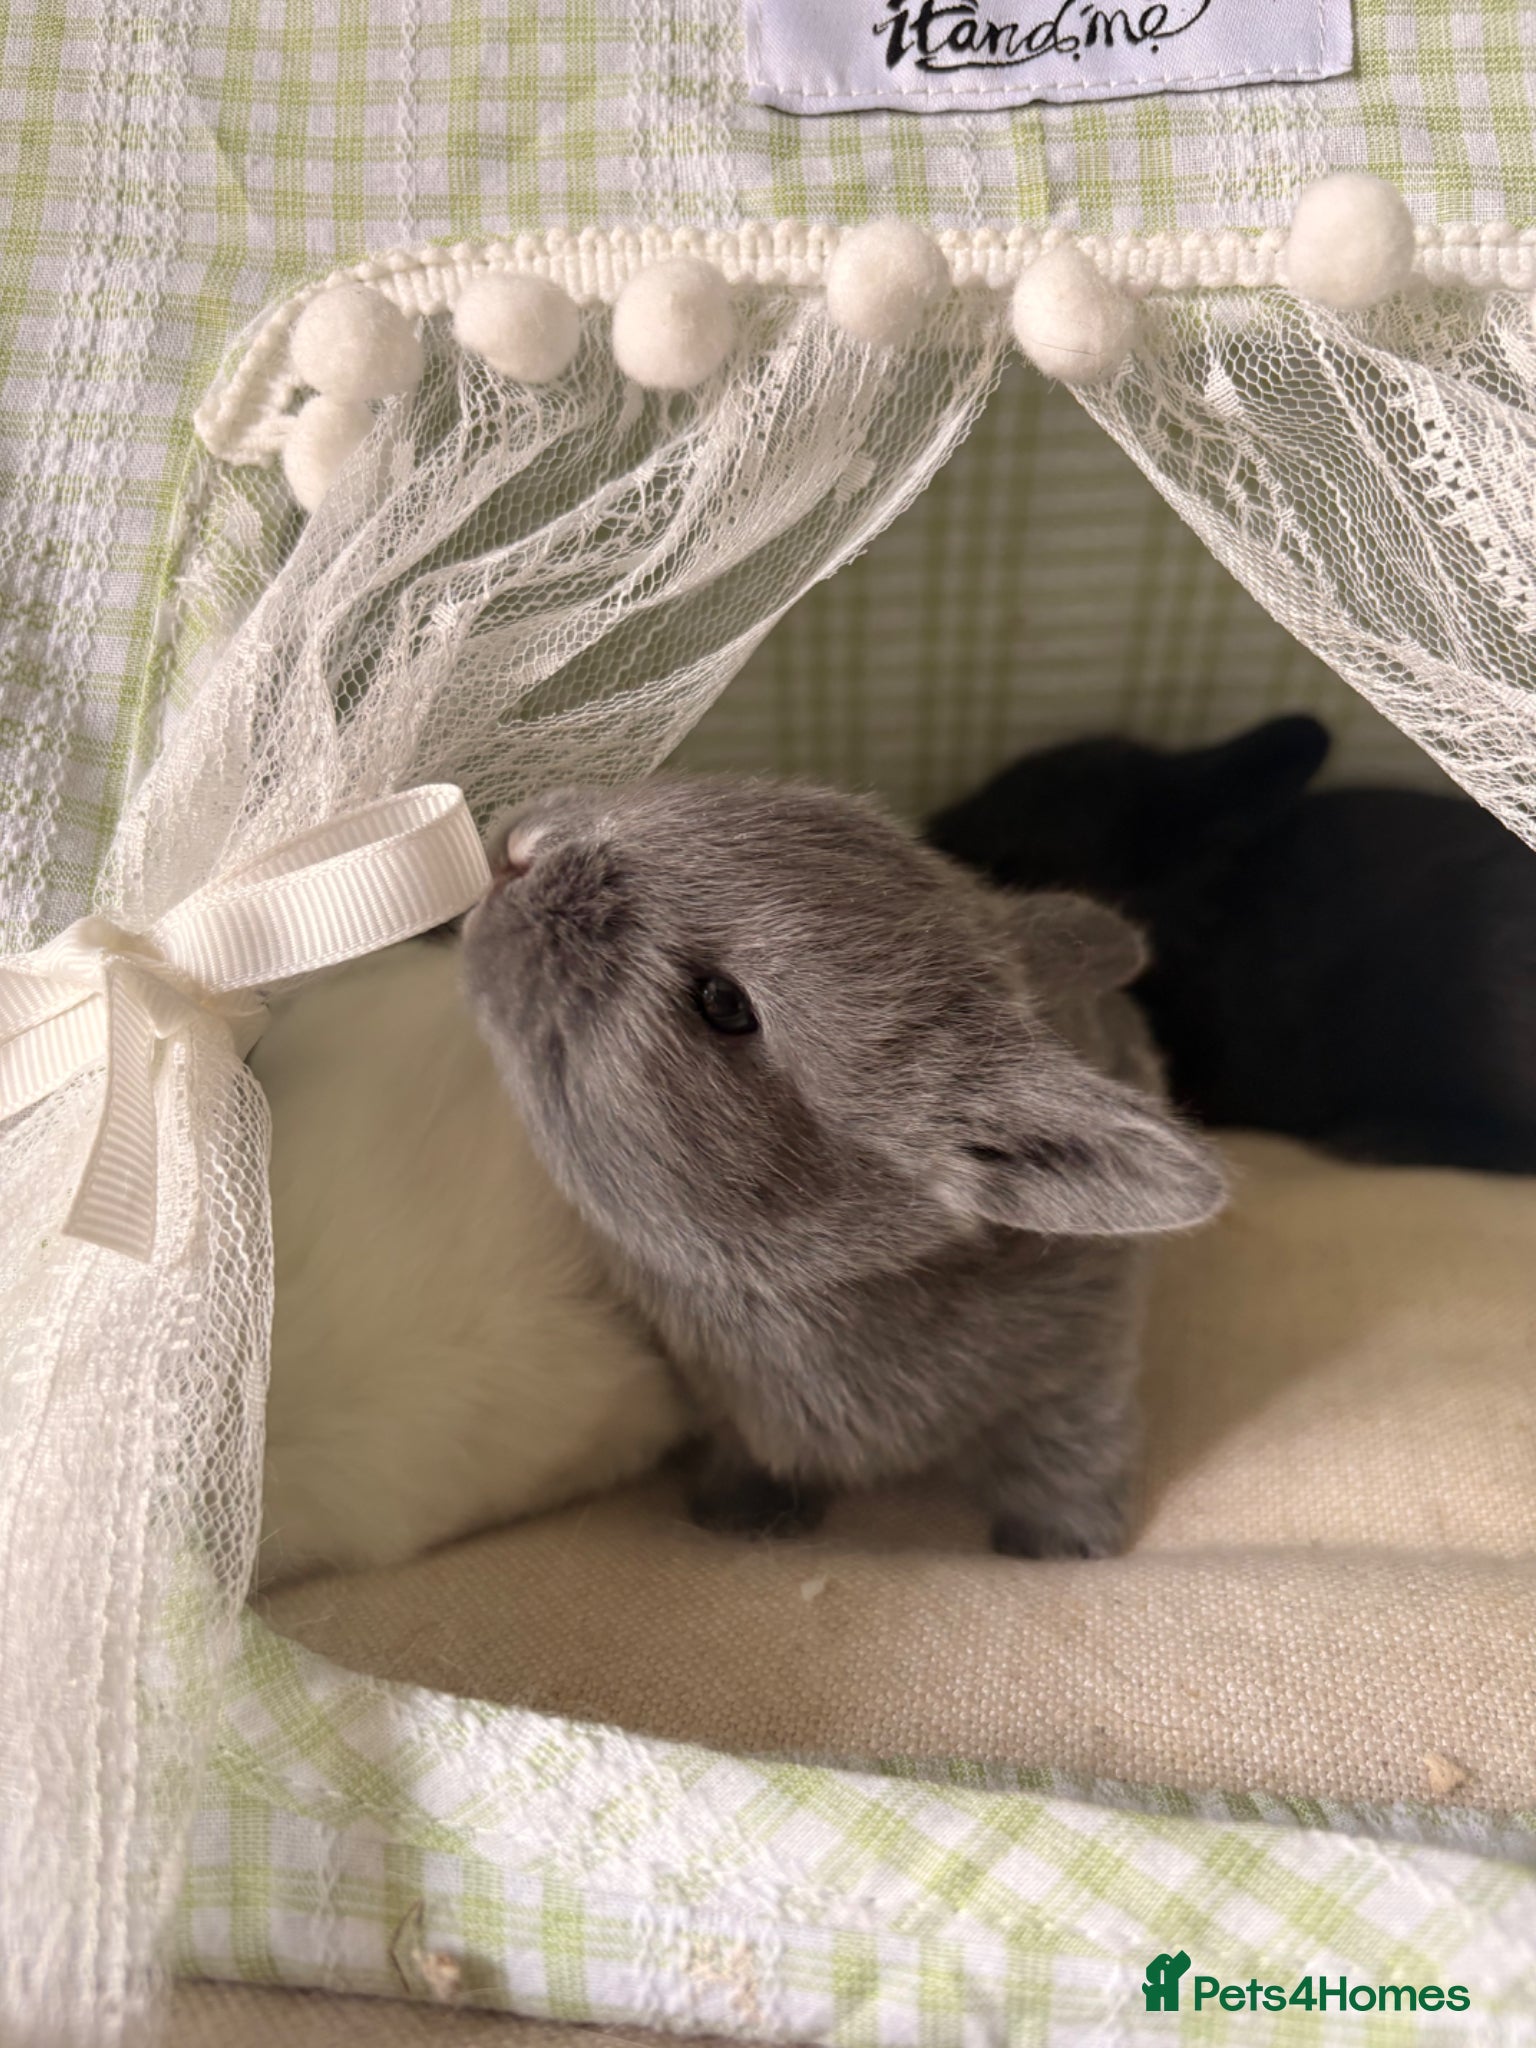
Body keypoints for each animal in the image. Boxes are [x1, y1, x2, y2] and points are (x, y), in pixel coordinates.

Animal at [461, 776, 1227, 1560]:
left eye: (722, 1003)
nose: (520, 853)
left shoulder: (1080, 1367)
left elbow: (1074, 1447)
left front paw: (1063, 1548)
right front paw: (742, 1517)